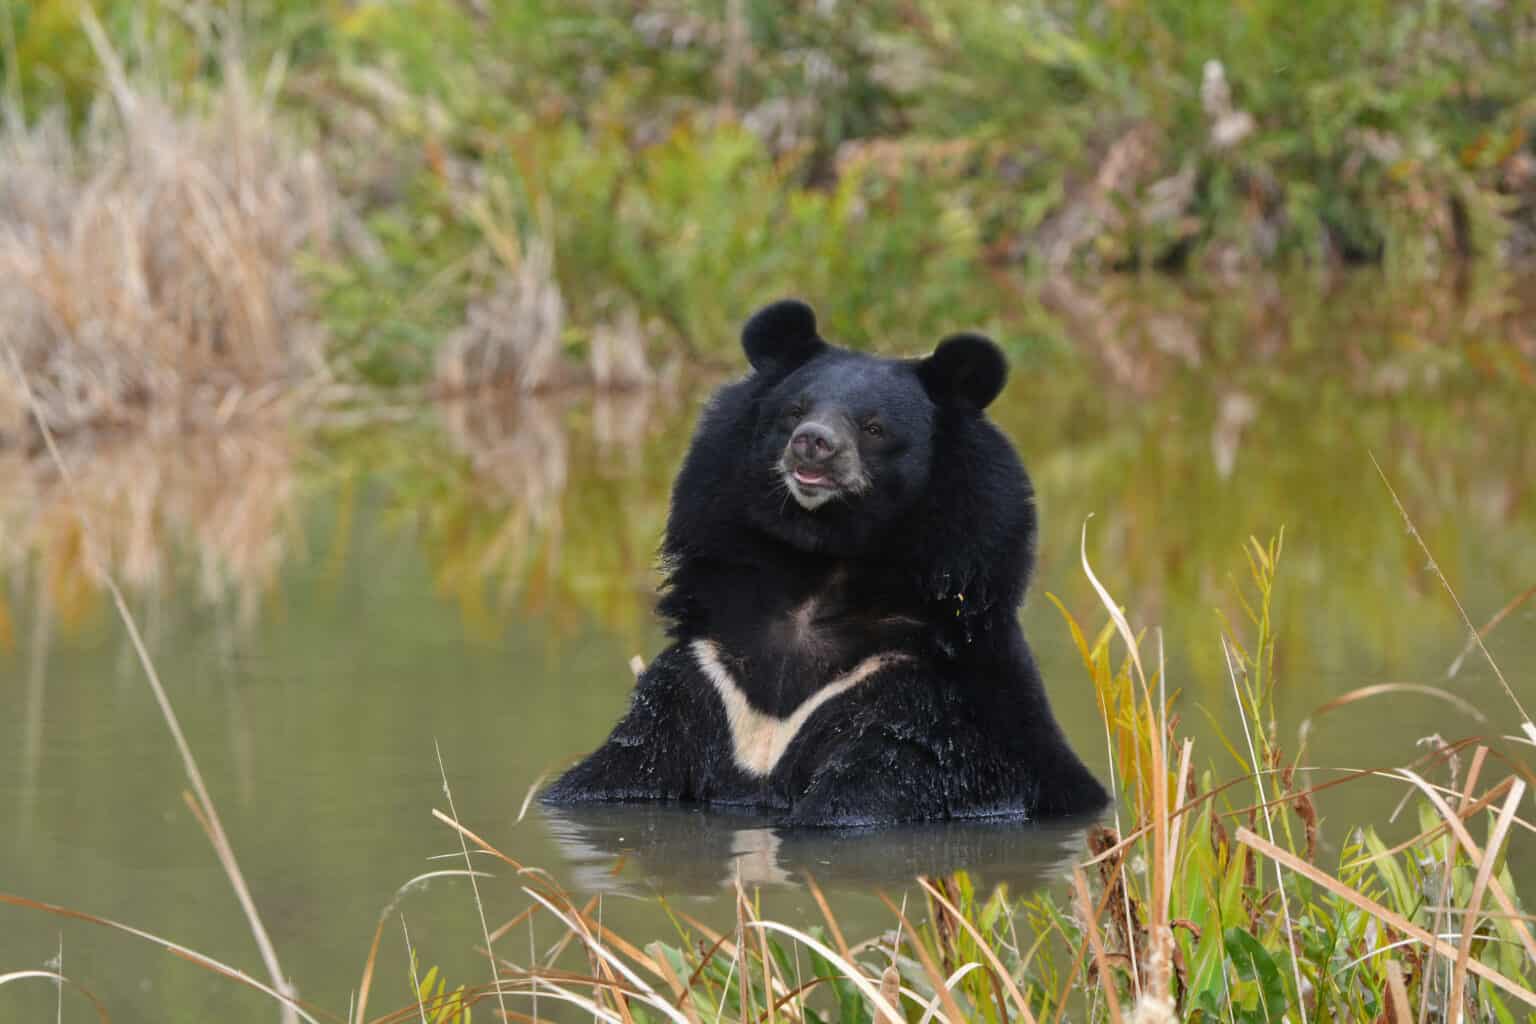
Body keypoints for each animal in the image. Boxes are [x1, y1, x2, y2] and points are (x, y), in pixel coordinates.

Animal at [546, 300, 1112, 829]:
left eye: (874, 426)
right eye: (794, 410)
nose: (813, 443)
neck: (822, 560)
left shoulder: (919, 697)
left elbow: (871, 790)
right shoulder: (709, 672)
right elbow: (621, 767)